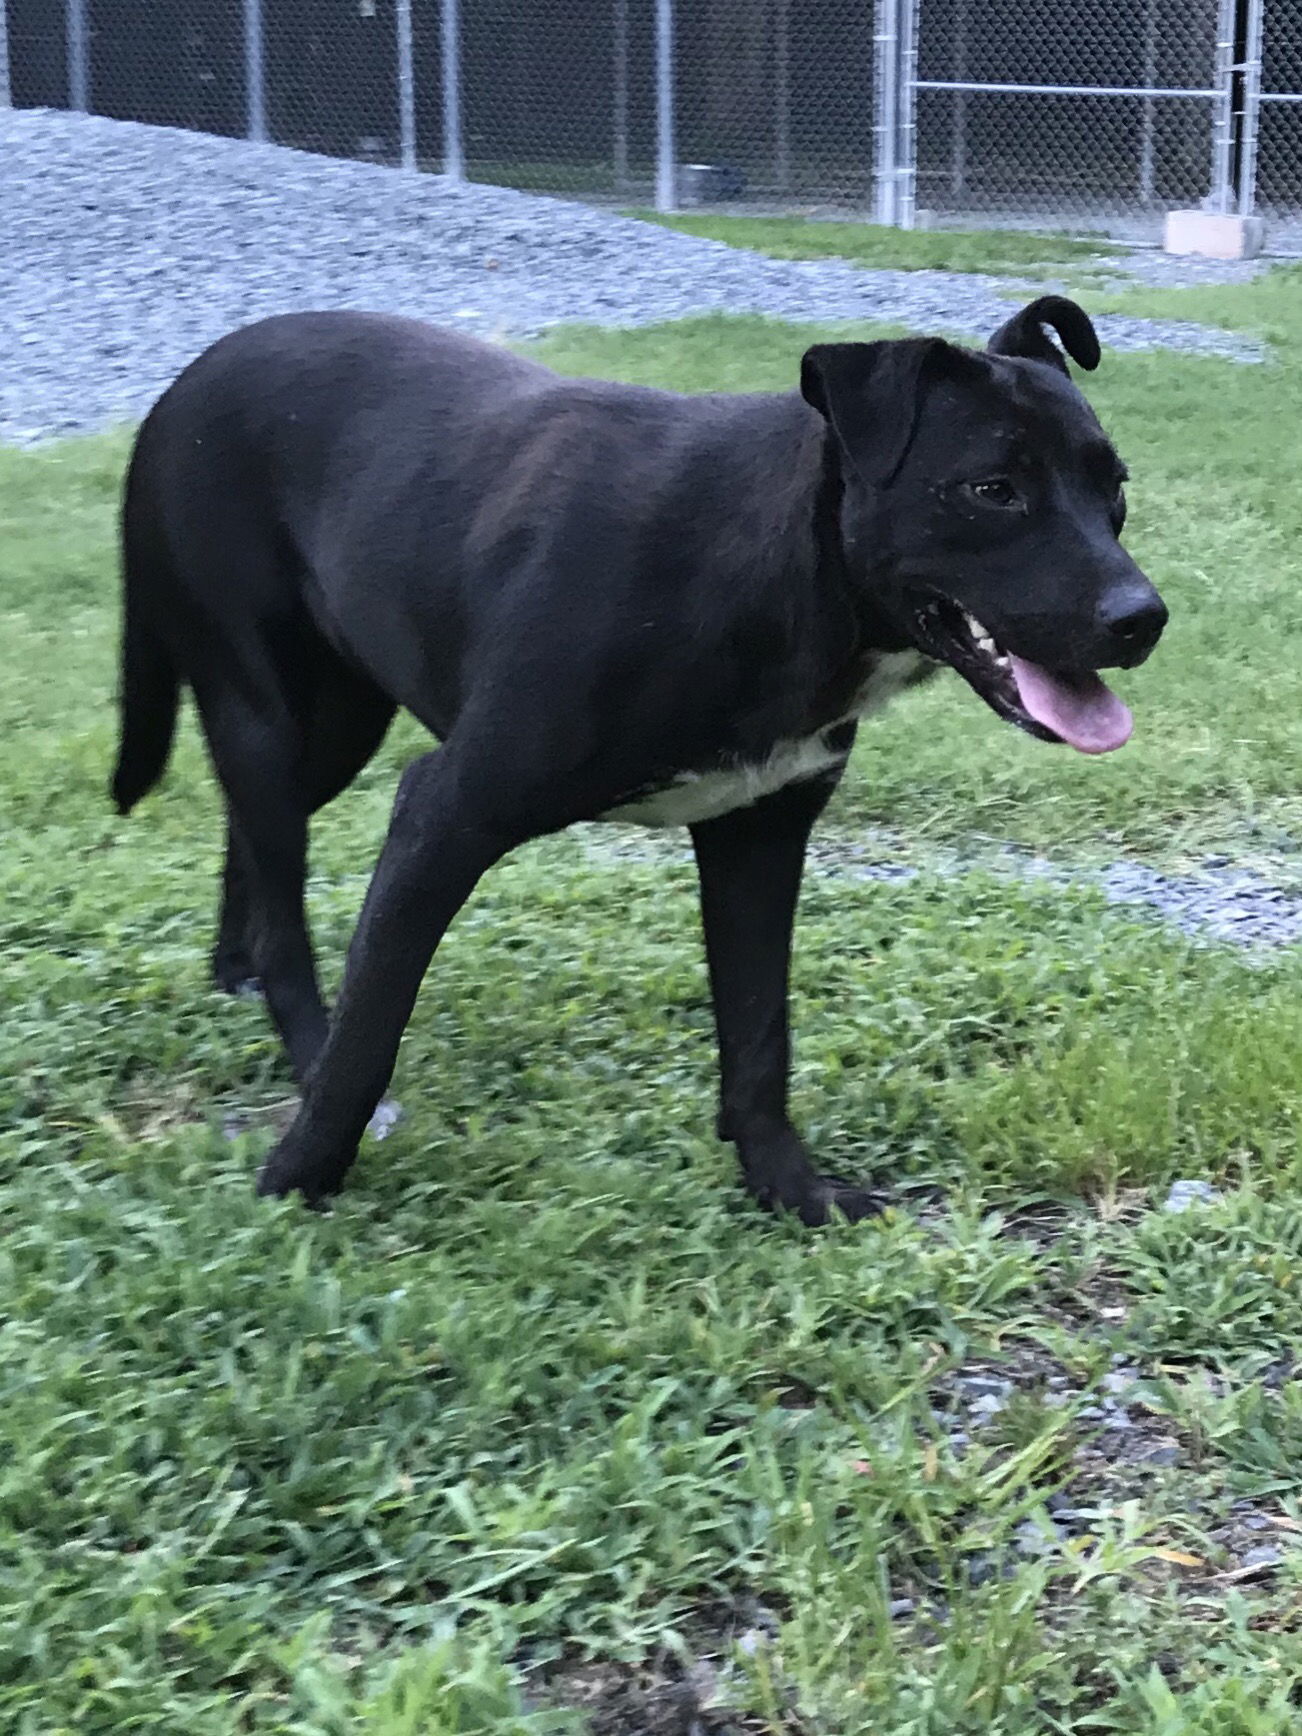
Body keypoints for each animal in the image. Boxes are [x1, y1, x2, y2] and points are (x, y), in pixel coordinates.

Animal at [114, 295, 1173, 1222]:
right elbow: (368, 1041)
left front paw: (790, 1192)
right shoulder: (445, 813)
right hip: (264, 705)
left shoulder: (760, 833)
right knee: (283, 895)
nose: (1143, 620)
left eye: (1114, 490)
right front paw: (292, 1187)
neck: (784, 569)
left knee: (252, 838)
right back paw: (292, 1026)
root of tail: (183, 384)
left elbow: (759, 1039)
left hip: (333, 723)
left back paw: (232, 967)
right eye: (992, 491)